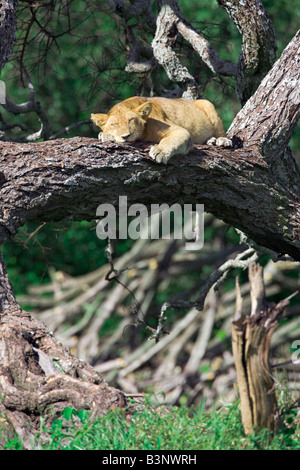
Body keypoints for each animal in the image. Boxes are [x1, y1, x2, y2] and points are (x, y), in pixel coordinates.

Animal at [91, 96, 232, 164]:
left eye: (130, 120)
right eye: (114, 124)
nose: (125, 136)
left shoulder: (178, 130)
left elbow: (171, 141)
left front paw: (159, 152)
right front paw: (105, 135)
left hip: (207, 104)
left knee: (220, 131)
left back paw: (222, 140)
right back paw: (210, 140)